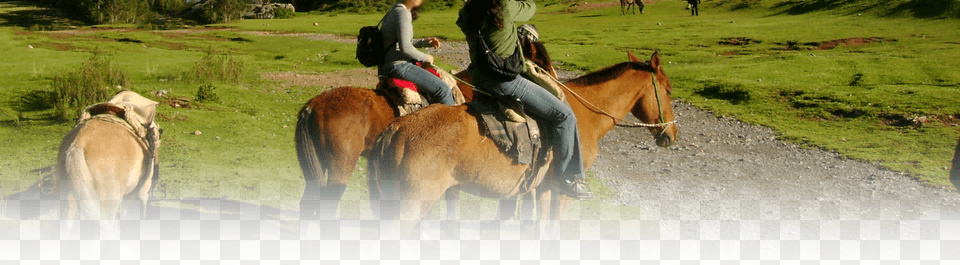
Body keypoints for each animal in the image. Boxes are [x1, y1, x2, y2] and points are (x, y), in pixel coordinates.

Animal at [368, 51, 676, 237]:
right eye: (669, 89)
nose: (671, 135)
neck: (583, 116)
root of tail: (395, 130)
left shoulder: (540, 188)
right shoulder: (562, 190)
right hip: (410, 206)